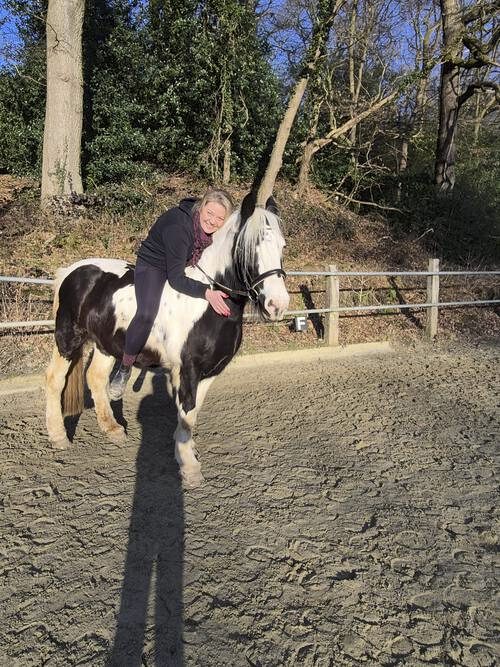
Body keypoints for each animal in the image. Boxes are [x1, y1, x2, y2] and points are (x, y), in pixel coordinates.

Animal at [45, 197, 290, 487]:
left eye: (282, 246)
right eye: (249, 249)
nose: (277, 305)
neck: (208, 303)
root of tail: (71, 271)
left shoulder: (210, 372)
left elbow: (191, 415)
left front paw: (186, 452)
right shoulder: (188, 370)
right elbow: (186, 413)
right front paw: (189, 468)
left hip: (105, 343)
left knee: (95, 377)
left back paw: (113, 429)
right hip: (68, 338)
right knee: (54, 380)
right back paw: (59, 437)